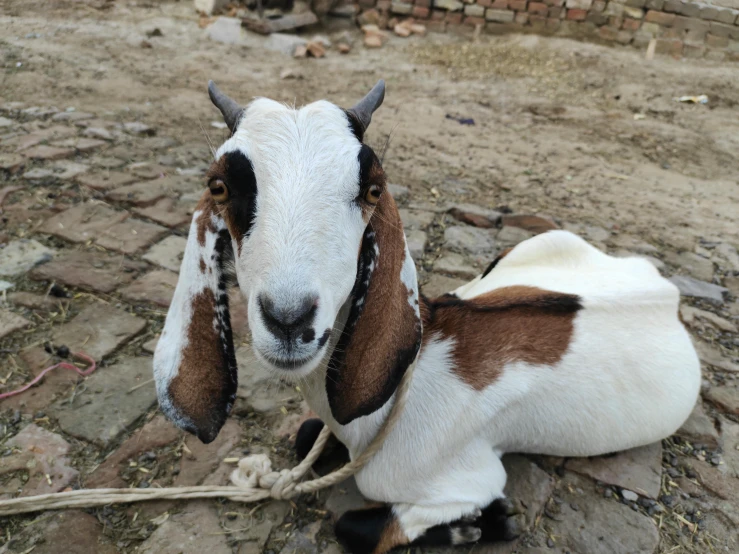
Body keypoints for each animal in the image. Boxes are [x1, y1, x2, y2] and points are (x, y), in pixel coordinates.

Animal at [153, 82, 704, 552]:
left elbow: (357, 526)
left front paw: (481, 524)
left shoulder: (463, 476)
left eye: (373, 190)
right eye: (219, 187)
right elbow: (307, 434)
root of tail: (664, 289)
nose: (289, 320)